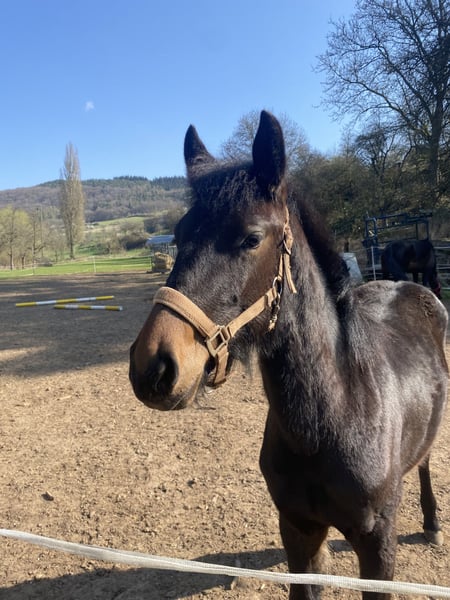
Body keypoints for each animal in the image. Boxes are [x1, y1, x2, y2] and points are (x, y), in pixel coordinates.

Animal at [129, 111, 448, 599]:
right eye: (179, 235)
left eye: (251, 238)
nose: (154, 366)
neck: (336, 415)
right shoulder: (298, 532)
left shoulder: (378, 549)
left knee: (427, 460)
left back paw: (432, 523)